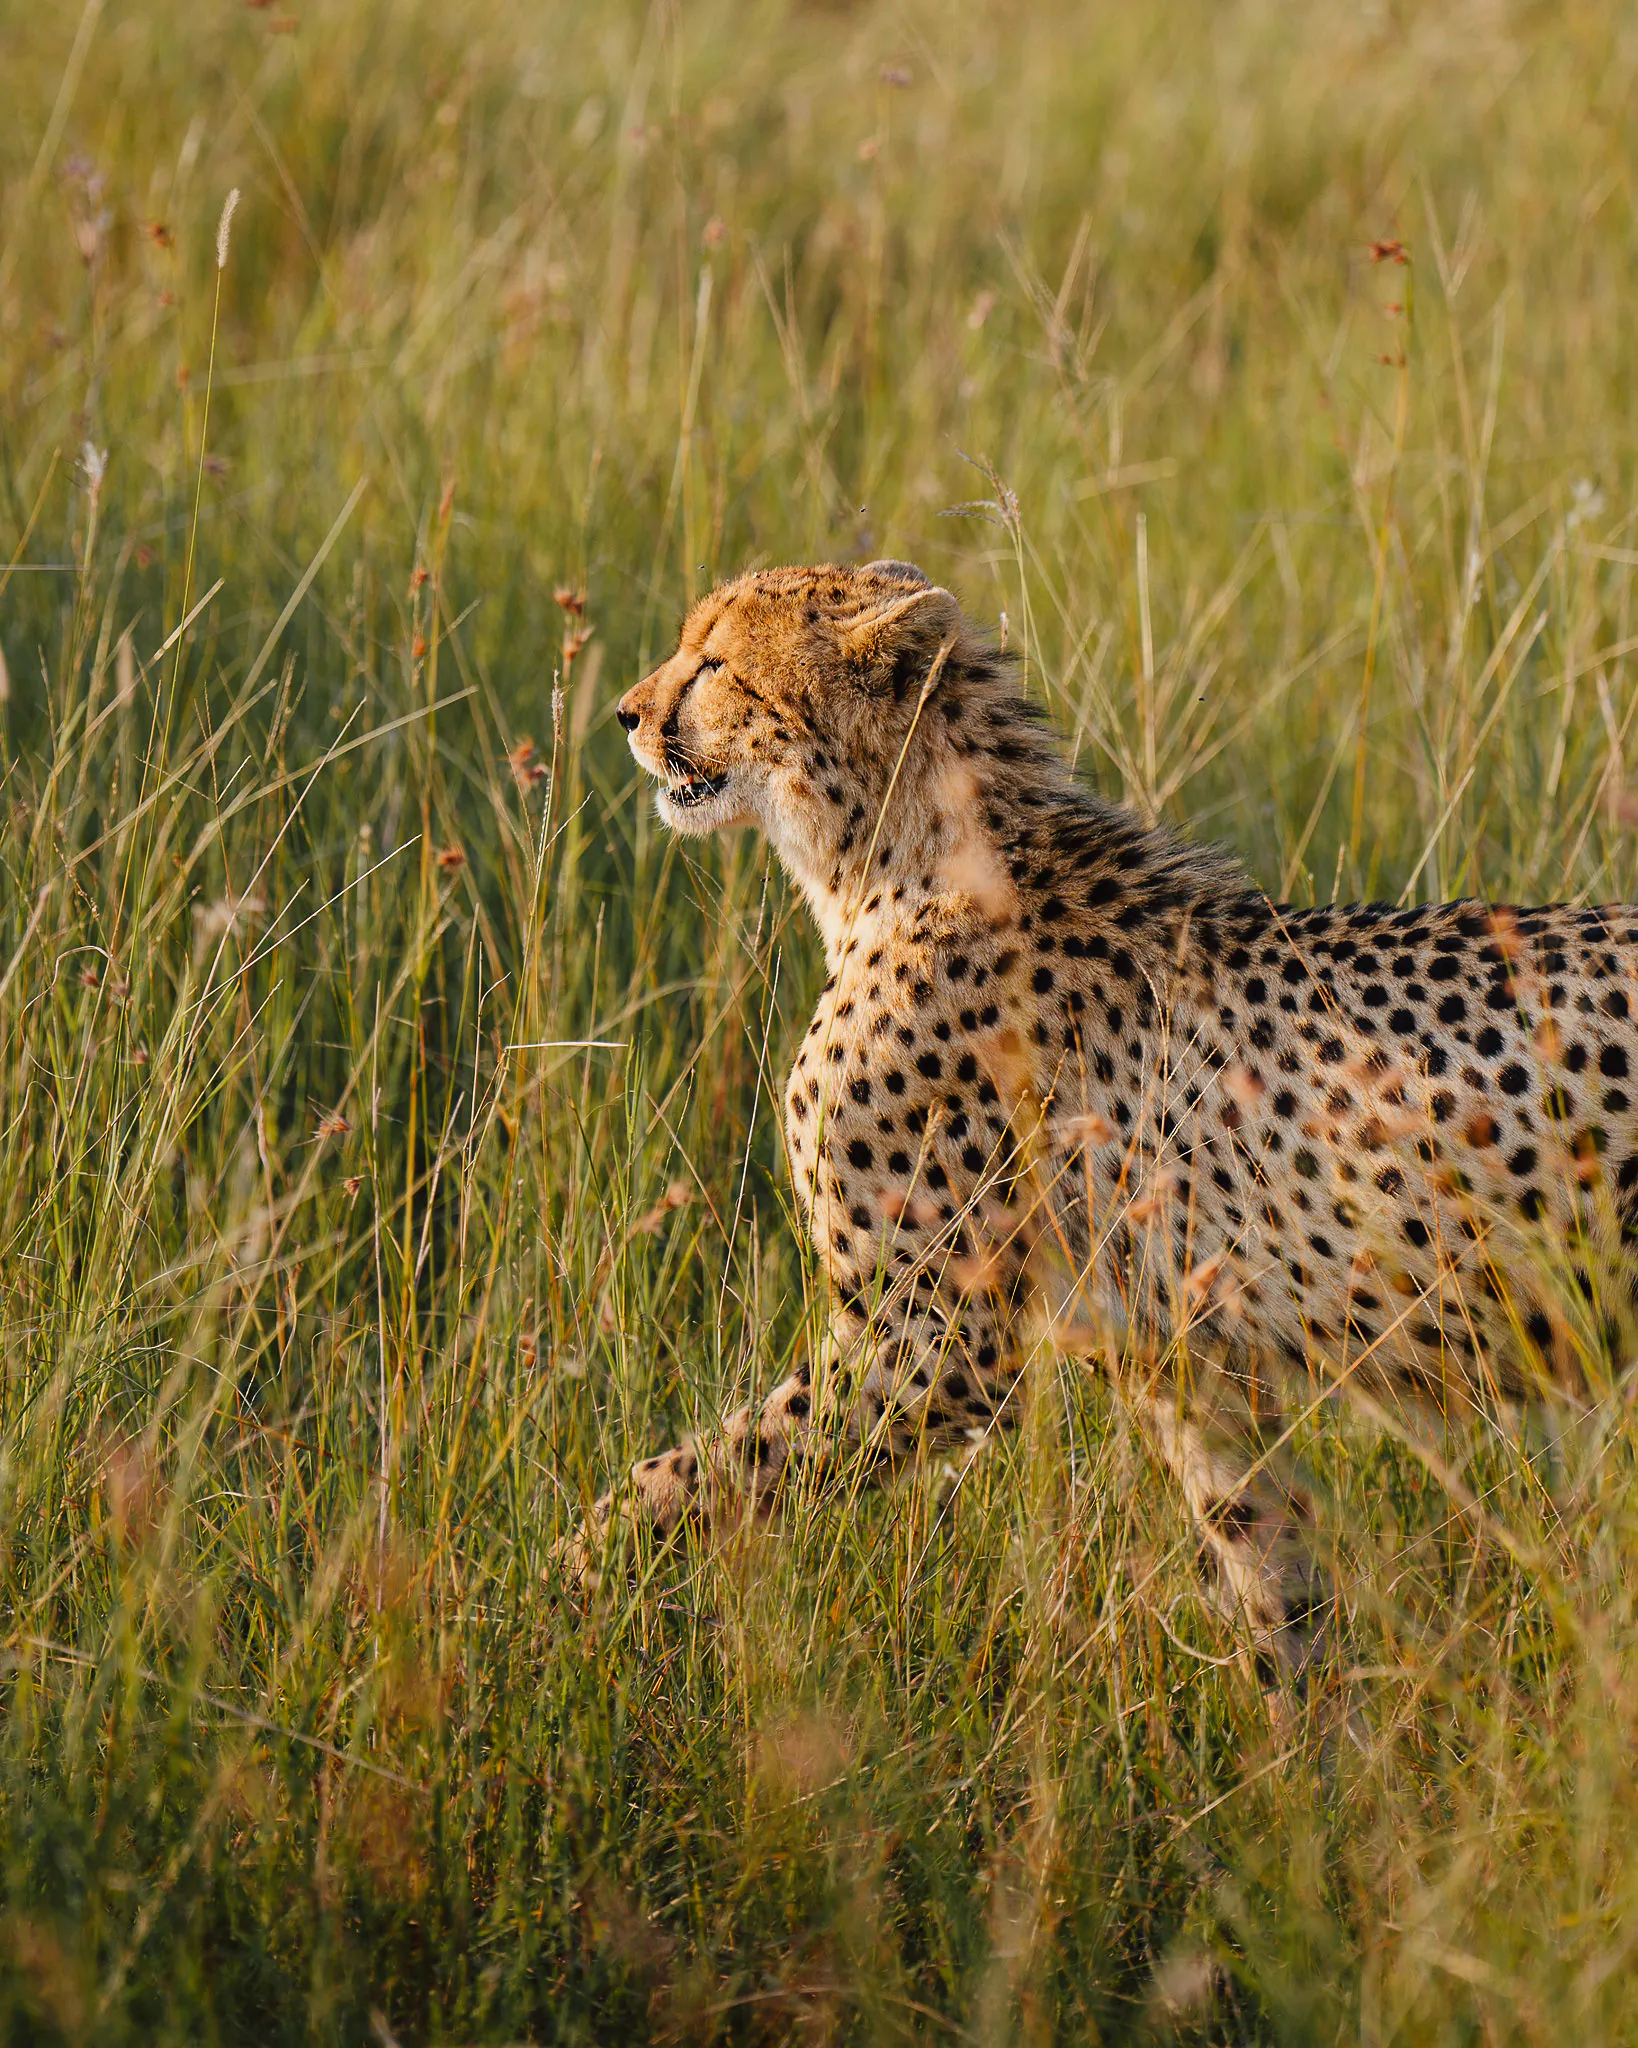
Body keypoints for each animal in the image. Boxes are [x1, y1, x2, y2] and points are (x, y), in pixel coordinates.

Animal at [572, 556, 1638, 1683]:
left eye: (714, 662)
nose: (627, 713)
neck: (897, 860)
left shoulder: (937, 1346)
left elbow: (701, 1471)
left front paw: (558, 1583)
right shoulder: (1190, 1371)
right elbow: (1273, 1580)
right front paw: (1313, 1730)